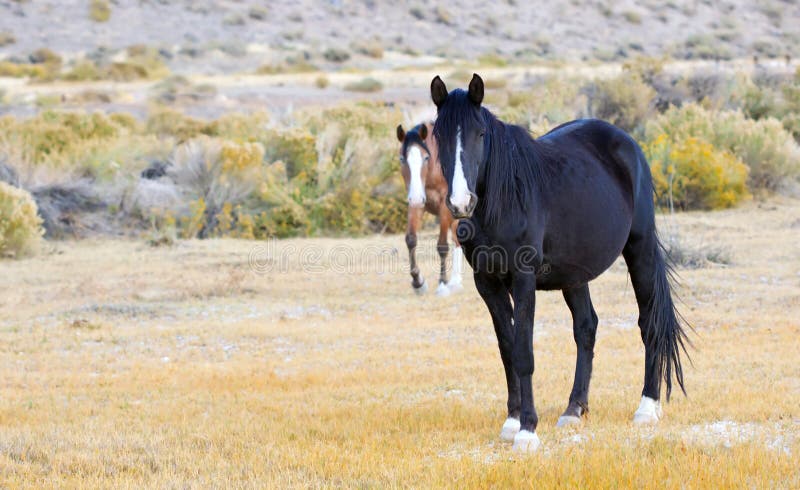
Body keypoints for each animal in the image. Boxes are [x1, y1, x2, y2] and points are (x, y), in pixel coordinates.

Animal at [396, 121, 462, 294]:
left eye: (426, 157)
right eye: (402, 159)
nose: (416, 197)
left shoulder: (445, 207)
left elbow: (442, 246)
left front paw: (442, 283)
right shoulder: (416, 204)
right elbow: (411, 240)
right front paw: (418, 282)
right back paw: (456, 281)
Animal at [432, 73, 688, 452]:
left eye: (480, 133)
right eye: (439, 136)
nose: (461, 202)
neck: (503, 200)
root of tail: (626, 142)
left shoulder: (523, 278)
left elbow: (524, 352)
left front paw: (527, 430)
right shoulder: (487, 282)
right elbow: (507, 349)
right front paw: (512, 421)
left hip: (639, 249)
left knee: (649, 323)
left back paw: (647, 407)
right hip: (574, 275)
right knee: (586, 328)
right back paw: (574, 409)